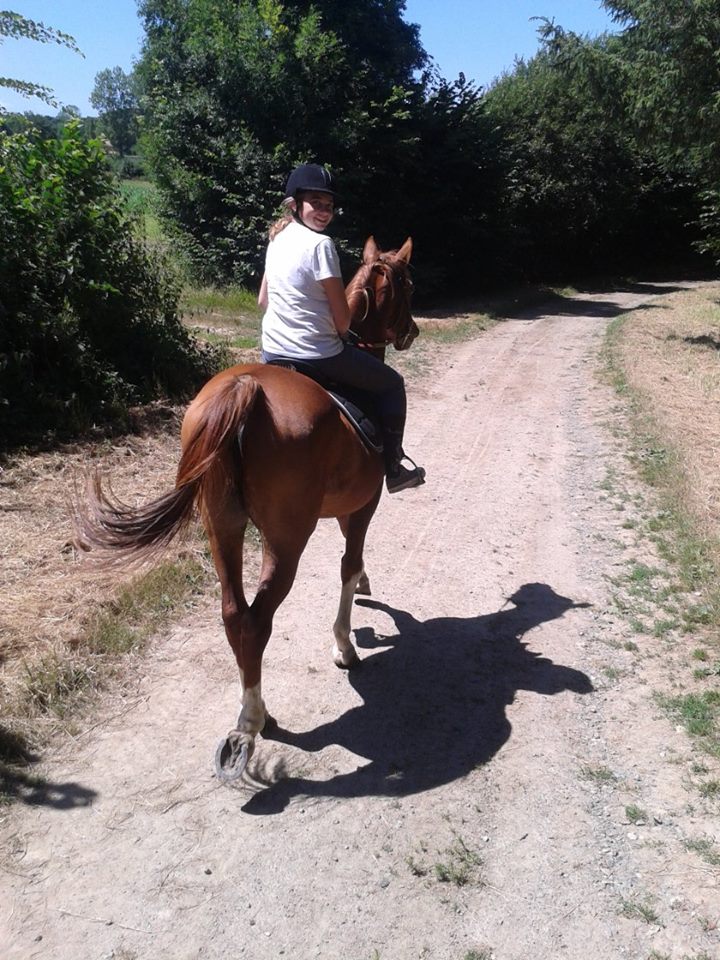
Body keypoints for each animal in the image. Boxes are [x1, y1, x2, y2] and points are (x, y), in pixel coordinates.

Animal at [75, 236, 419, 781]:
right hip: (285, 540)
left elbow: (353, 565)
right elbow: (349, 564)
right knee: (258, 621)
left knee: (235, 615)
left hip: (223, 529)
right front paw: (346, 645)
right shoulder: (365, 504)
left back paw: (255, 711)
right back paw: (252, 723)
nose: (412, 330)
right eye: (407, 283)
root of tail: (245, 389)